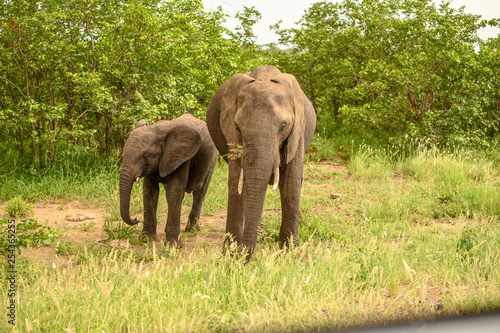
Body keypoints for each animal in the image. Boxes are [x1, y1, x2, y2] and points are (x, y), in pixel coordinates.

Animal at [120, 114, 218, 246]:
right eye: (124, 154)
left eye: (146, 156)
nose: (136, 219)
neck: (156, 129)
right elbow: (149, 193)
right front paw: (146, 240)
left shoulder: (182, 158)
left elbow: (174, 193)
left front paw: (173, 246)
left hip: (212, 158)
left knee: (200, 192)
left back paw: (192, 230)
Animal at [207, 65, 316, 260]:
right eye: (238, 128)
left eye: (283, 127)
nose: (244, 259)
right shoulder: (231, 135)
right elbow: (236, 183)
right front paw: (230, 255)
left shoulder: (298, 132)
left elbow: (290, 184)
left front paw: (290, 255)